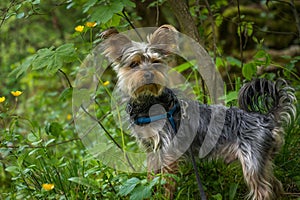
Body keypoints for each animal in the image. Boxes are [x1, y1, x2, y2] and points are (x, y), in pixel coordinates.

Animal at [99, 25, 296, 200]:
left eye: (156, 62)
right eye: (134, 64)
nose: (149, 74)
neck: (149, 102)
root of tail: (266, 118)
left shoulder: (169, 151)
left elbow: (167, 182)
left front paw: (163, 196)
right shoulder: (151, 149)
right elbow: (151, 177)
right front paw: (151, 191)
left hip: (251, 159)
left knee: (263, 190)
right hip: (263, 160)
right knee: (275, 184)